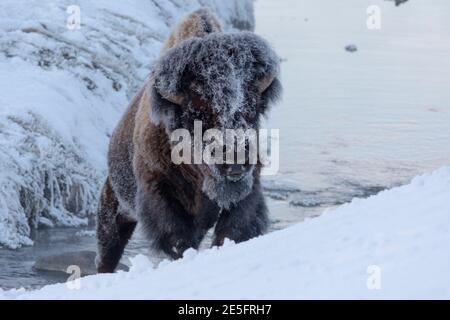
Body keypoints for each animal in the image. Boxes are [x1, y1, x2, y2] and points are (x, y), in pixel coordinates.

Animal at [96, 8, 282, 272]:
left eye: (252, 111)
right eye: (198, 114)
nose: (235, 161)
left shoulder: (249, 187)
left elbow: (232, 230)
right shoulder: (157, 189)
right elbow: (177, 238)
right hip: (113, 206)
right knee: (108, 249)